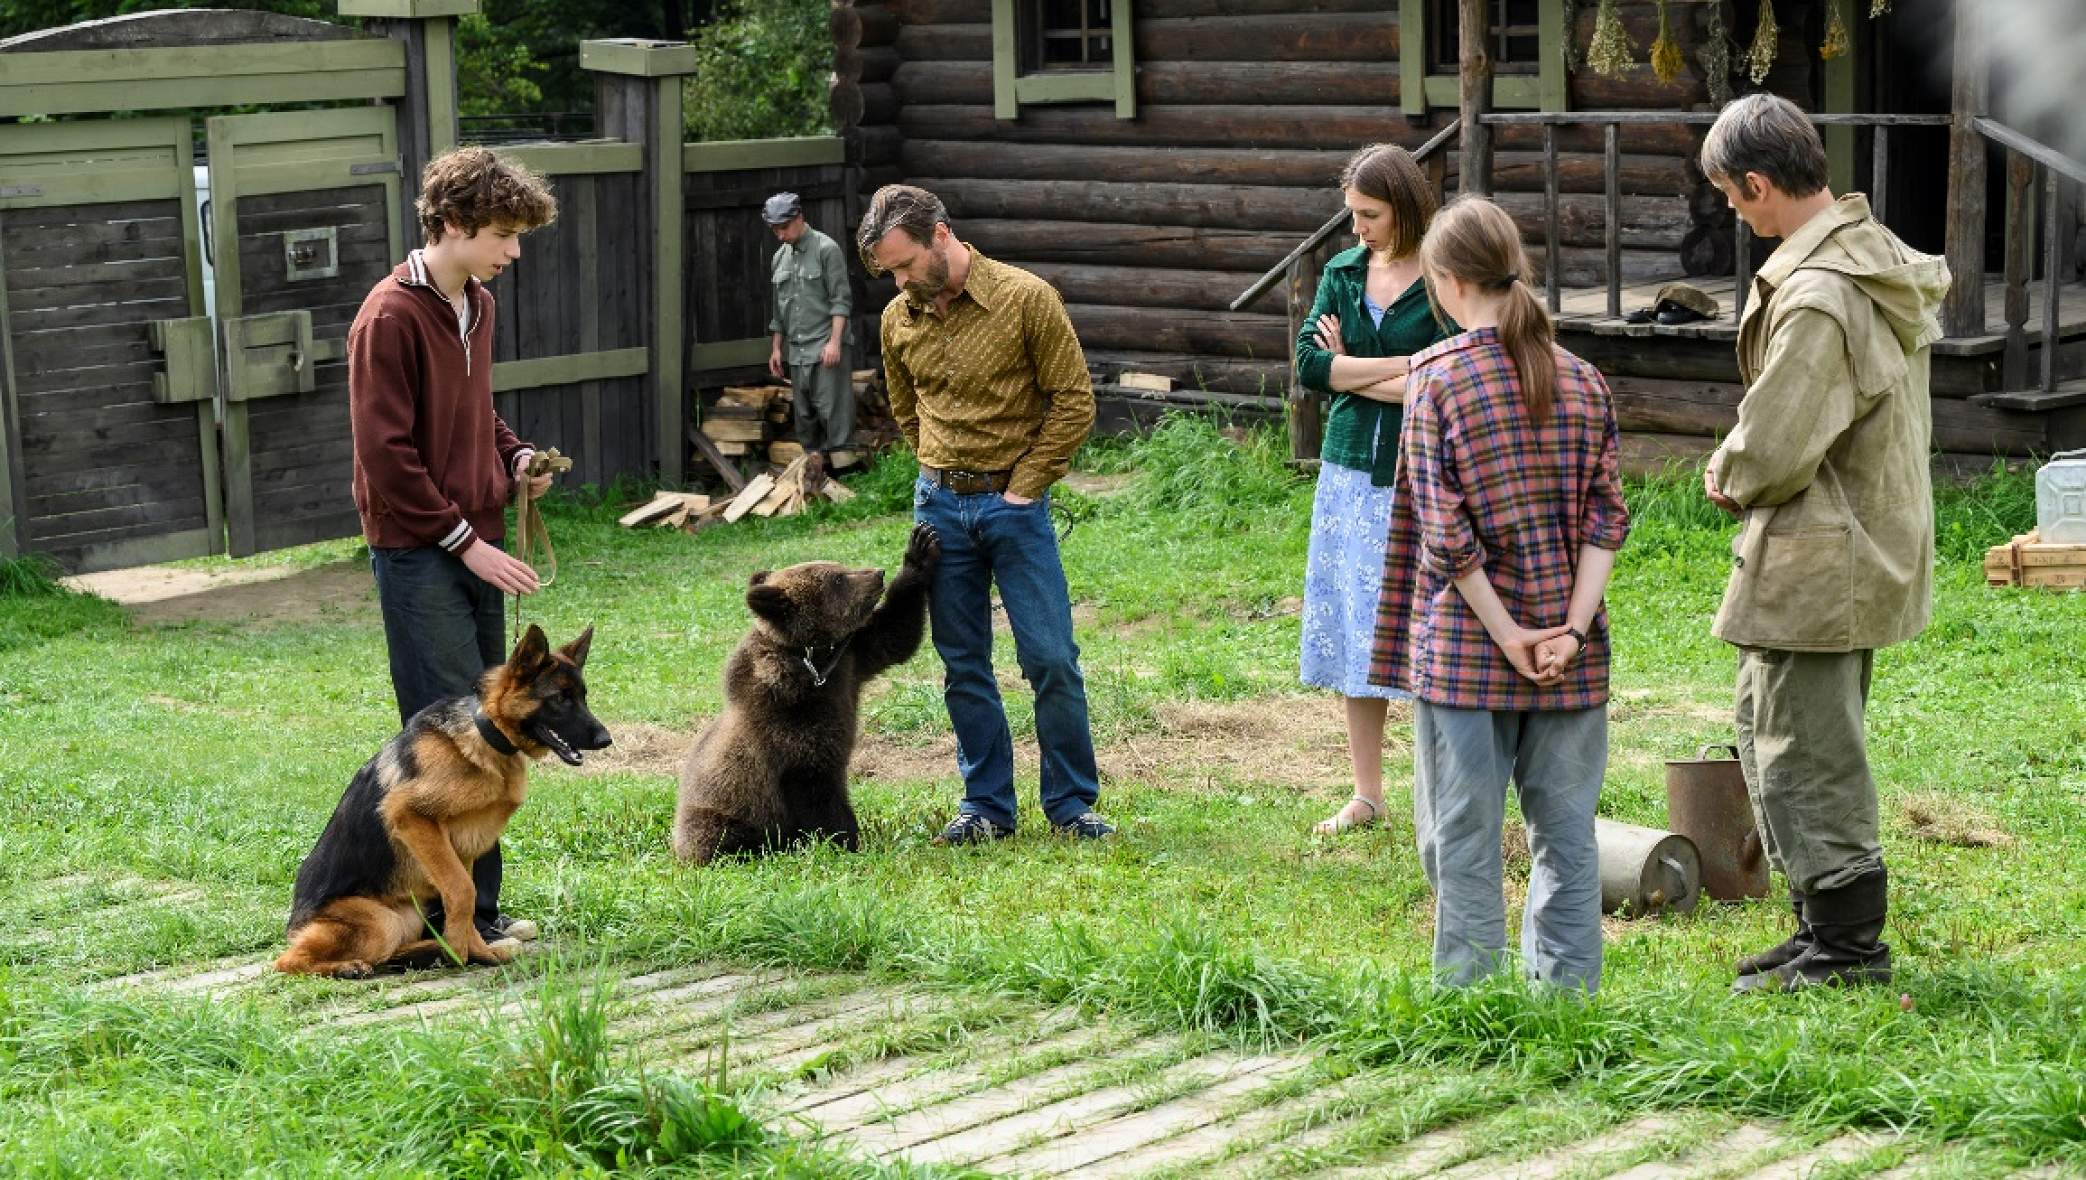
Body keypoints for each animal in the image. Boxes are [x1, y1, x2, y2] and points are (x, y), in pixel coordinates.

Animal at [275, 629, 609, 979]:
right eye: (559, 698)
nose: (606, 739)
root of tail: (294, 927)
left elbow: (466, 897)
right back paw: (352, 966)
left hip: (408, 915)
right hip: (382, 920)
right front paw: (460, 951)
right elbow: (463, 891)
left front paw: (476, 952)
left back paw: (425, 952)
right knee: (287, 961)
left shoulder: (463, 844)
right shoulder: (410, 817)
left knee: (388, 953)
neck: (485, 734)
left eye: (582, 697)